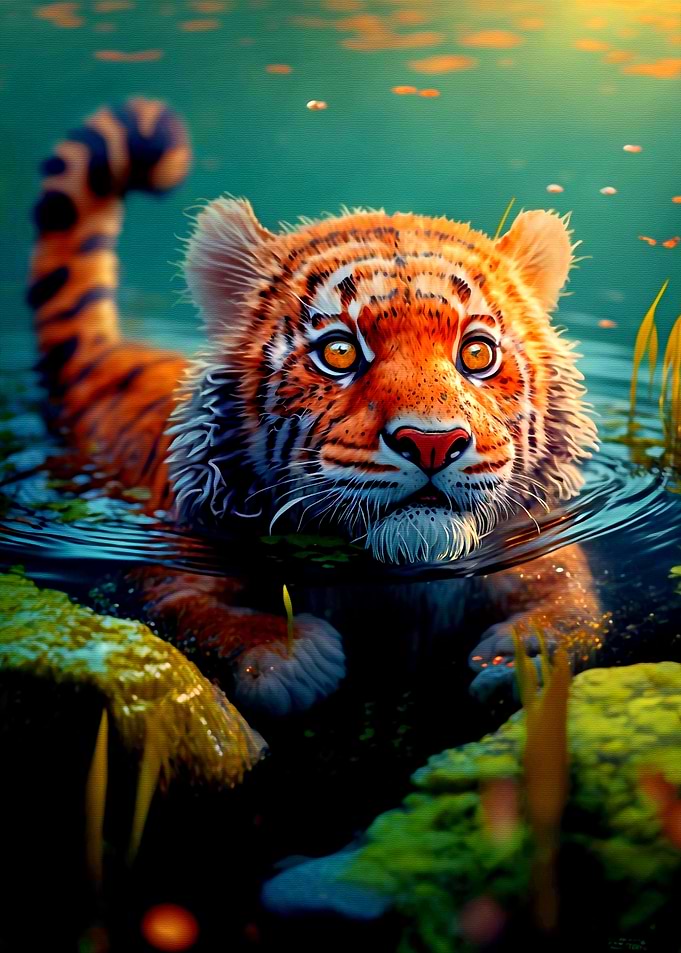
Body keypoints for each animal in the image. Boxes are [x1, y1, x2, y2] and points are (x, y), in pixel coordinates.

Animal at [27, 97, 604, 714]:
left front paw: (526, 656)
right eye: (339, 351)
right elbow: (192, 613)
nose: (432, 443)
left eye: (477, 352)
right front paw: (288, 658)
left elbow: (577, 605)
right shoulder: (171, 563)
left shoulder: (539, 548)